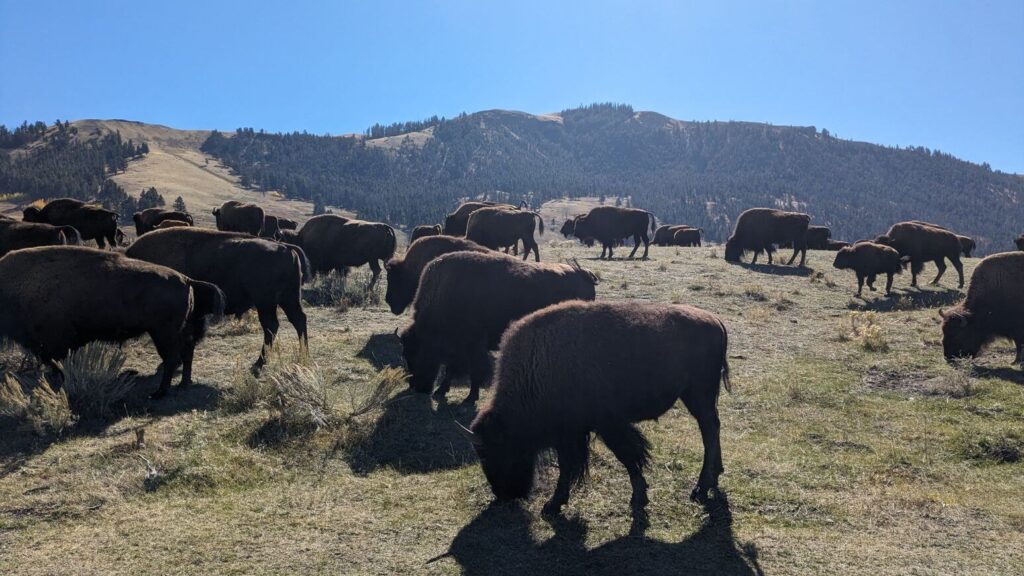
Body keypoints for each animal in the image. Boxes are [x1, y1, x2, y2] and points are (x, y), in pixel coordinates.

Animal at [0, 246, 224, 397]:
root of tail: (186, 279)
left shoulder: (54, 344)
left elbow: (58, 363)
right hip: (178, 330)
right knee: (187, 353)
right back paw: (183, 384)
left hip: (162, 333)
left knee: (172, 359)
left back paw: (159, 393)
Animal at [126, 228, 310, 373]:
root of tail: (285, 248)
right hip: (287, 298)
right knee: (298, 320)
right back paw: (303, 355)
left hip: (266, 302)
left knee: (271, 326)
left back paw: (258, 364)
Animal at [400, 251, 598, 403]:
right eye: (406, 354)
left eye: (416, 352)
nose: (418, 387)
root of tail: (584, 274)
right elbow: (452, 368)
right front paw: (441, 391)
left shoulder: (473, 347)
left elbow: (475, 371)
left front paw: (469, 398)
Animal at [464, 300, 730, 515]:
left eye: (493, 451)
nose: (504, 494)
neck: (537, 369)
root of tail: (715, 321)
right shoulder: (572, 433)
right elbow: (572, 465)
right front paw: (556, 503)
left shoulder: (603, 426)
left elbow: (626, 456)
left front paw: (637, 497)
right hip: (698, 397)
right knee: (713, 428)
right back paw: (715, 476)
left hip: (698, 395)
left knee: (709, 430)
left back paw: (701, 488)